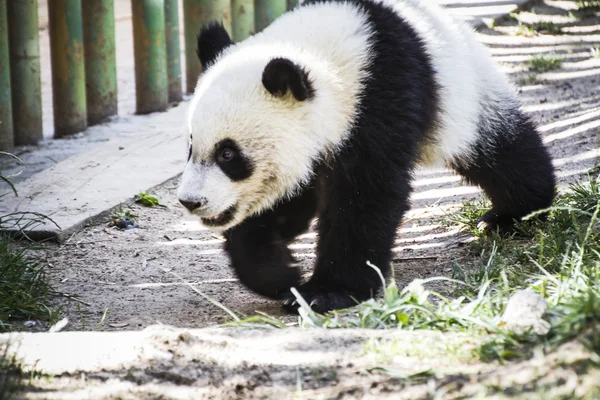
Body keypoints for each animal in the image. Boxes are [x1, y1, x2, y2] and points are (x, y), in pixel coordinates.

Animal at [177, 0, 556, 314]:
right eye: (191, 147)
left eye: (228, 154)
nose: (191, 201)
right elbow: (286, 203)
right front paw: (280, 273)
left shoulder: (381, 97)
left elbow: (365, 196)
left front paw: (327, 293)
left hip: (463, 92)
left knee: (500, 151)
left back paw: (516, 213)